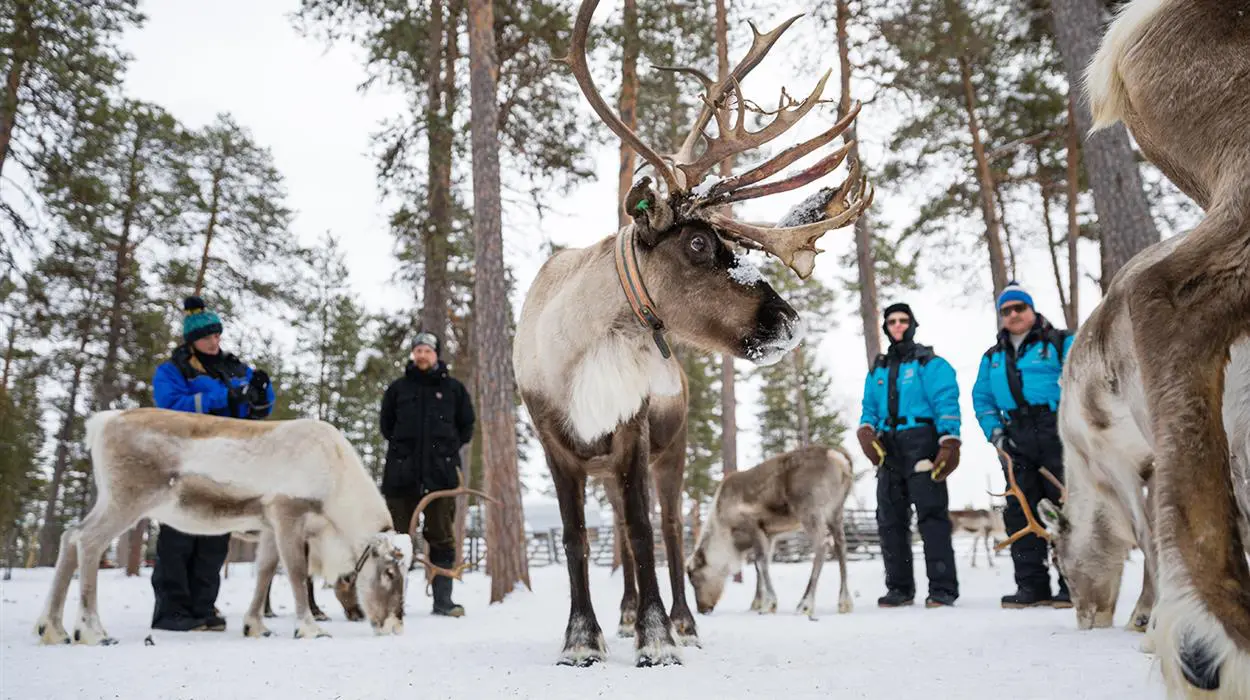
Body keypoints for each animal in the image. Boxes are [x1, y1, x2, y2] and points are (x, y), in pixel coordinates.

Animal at [32, 407, 409, 646]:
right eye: (390, 573)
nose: (394, 626)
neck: (336, 486)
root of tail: (103, 423)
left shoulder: (267, 524)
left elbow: (265, 571)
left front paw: (256, 626)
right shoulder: (287, 512)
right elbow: (297, 573)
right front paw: (310, 629)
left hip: (109, 499)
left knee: (69, 536)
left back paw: (52, 629)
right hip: (128, 500)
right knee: (89, 541)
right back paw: (92, 632)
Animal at [685, 445, 856, 621]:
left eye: (694, 578)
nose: (702, 609)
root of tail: (839, 458)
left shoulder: (753, 526)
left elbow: (760, 563)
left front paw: (769, 604)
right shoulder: (770, 534)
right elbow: (761, 564)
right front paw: (757, 603)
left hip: (809, 510)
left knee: (823, 545)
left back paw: (805, 604)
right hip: (835, 511)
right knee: (841, 545)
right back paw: (844, 602)